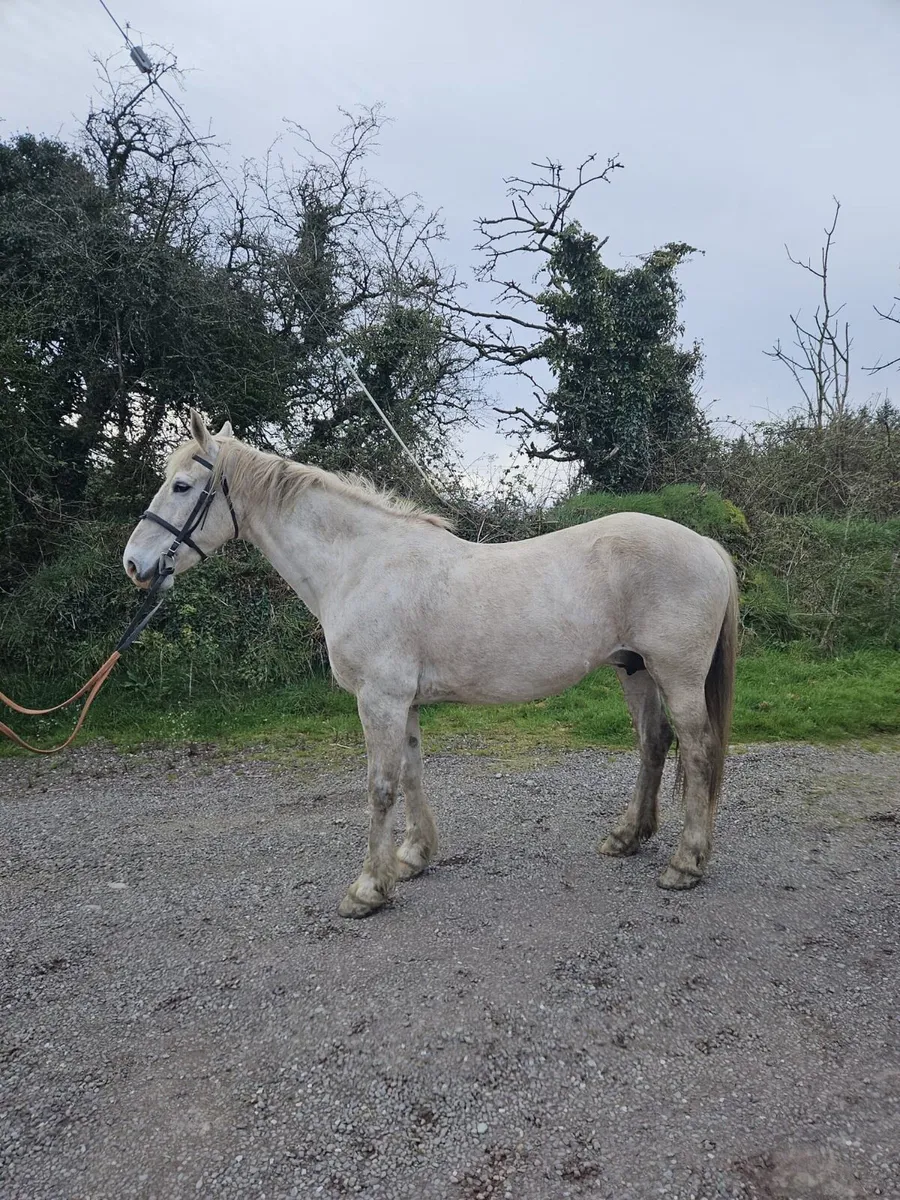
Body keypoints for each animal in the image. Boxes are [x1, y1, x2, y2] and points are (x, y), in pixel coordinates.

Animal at [123, 410, 739, 918]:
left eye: (181, 485)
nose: (134, 564)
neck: (360, 563)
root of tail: (706, 545)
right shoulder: (403, 702)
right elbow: (412, 772)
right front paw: (413, 857)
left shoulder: (379, 698)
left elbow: (380, 786)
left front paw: (368, 889)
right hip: (634, 669)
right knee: (654, 742)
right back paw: (627, 838)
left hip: (676, 676)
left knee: (698, 750)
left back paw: (685, 863)